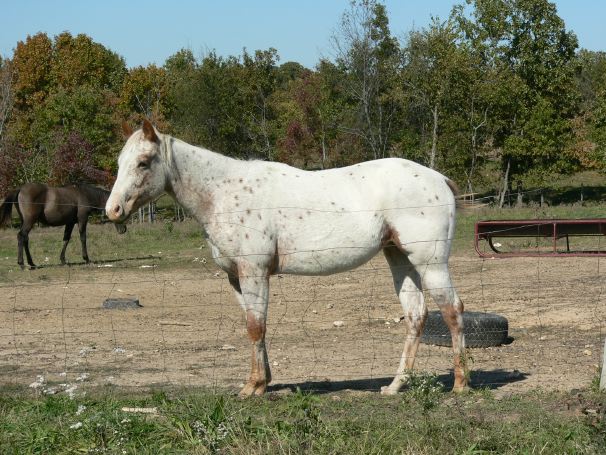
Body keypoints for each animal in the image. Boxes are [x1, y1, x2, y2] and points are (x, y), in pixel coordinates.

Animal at [107, 119, 470, 398]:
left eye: (144, 162)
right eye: (120, 162)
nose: (113, 210)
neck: (223, 193)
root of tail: (440, 180)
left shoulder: (253, 271)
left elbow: (256, 326)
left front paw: (252, 388)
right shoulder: (236, 277)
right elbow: (254, 325)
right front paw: (260, 382)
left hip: (431, 263)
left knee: (452, 310)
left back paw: (460, 384)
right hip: (399, 258)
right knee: (416, 315)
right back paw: (395, 386)